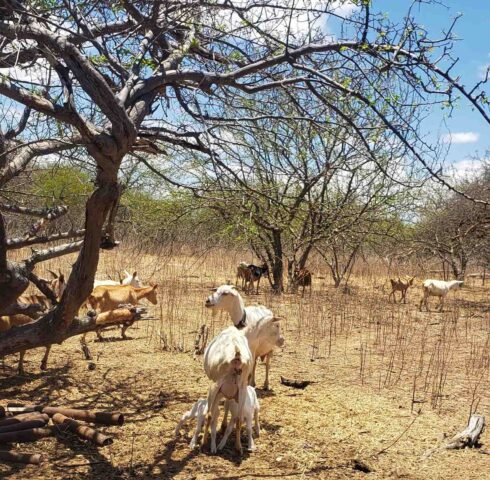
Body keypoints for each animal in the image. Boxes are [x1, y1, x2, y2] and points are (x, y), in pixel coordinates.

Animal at [201, 326, 253, 454]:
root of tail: (237, 355)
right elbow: (228, 406)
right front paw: (224, 426)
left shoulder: (219, 389)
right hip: (242, 389)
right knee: (239, 418)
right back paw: (238, 448)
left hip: (215, 385)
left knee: (209, 415)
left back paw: (203, 444)